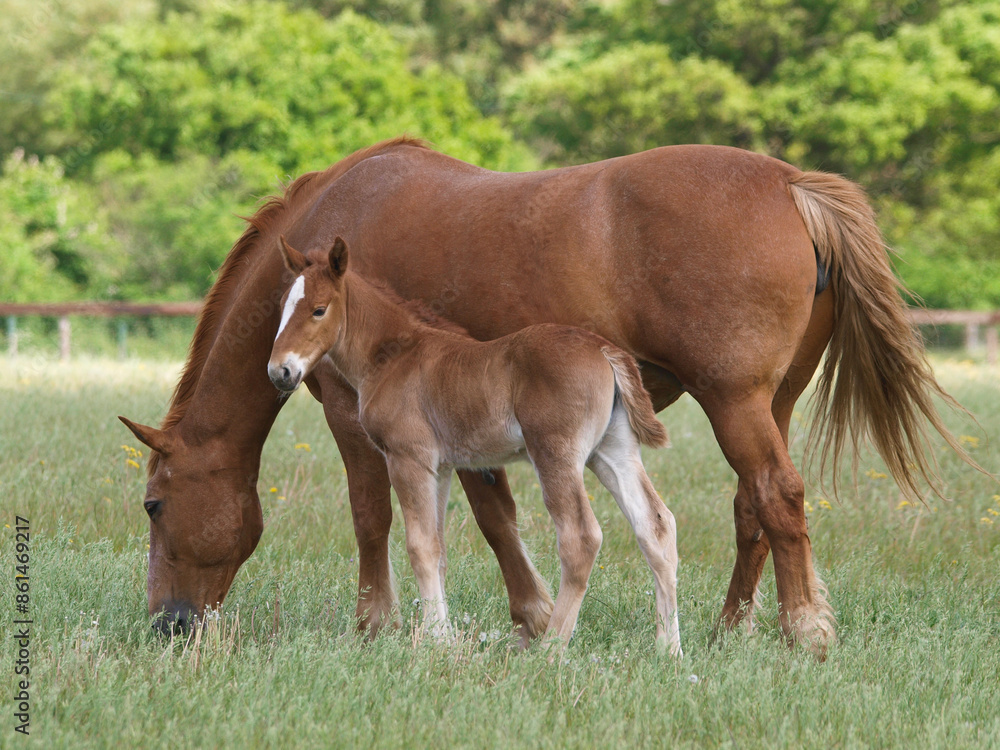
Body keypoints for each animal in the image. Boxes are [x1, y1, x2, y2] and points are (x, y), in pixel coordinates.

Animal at [266, 235, 682, 653]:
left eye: (319, 310)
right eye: (283, 307)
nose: (279, 371)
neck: (394, 356)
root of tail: (604, 350)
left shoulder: (407, 458)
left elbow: (420, 547)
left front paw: (435, 640)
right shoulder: (440, 466)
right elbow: (438, 549)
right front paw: (443, 635)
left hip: (555, 453)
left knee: (580, 538)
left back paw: (550, 649)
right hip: (612, 451)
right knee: (655, 525)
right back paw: (669, 649)